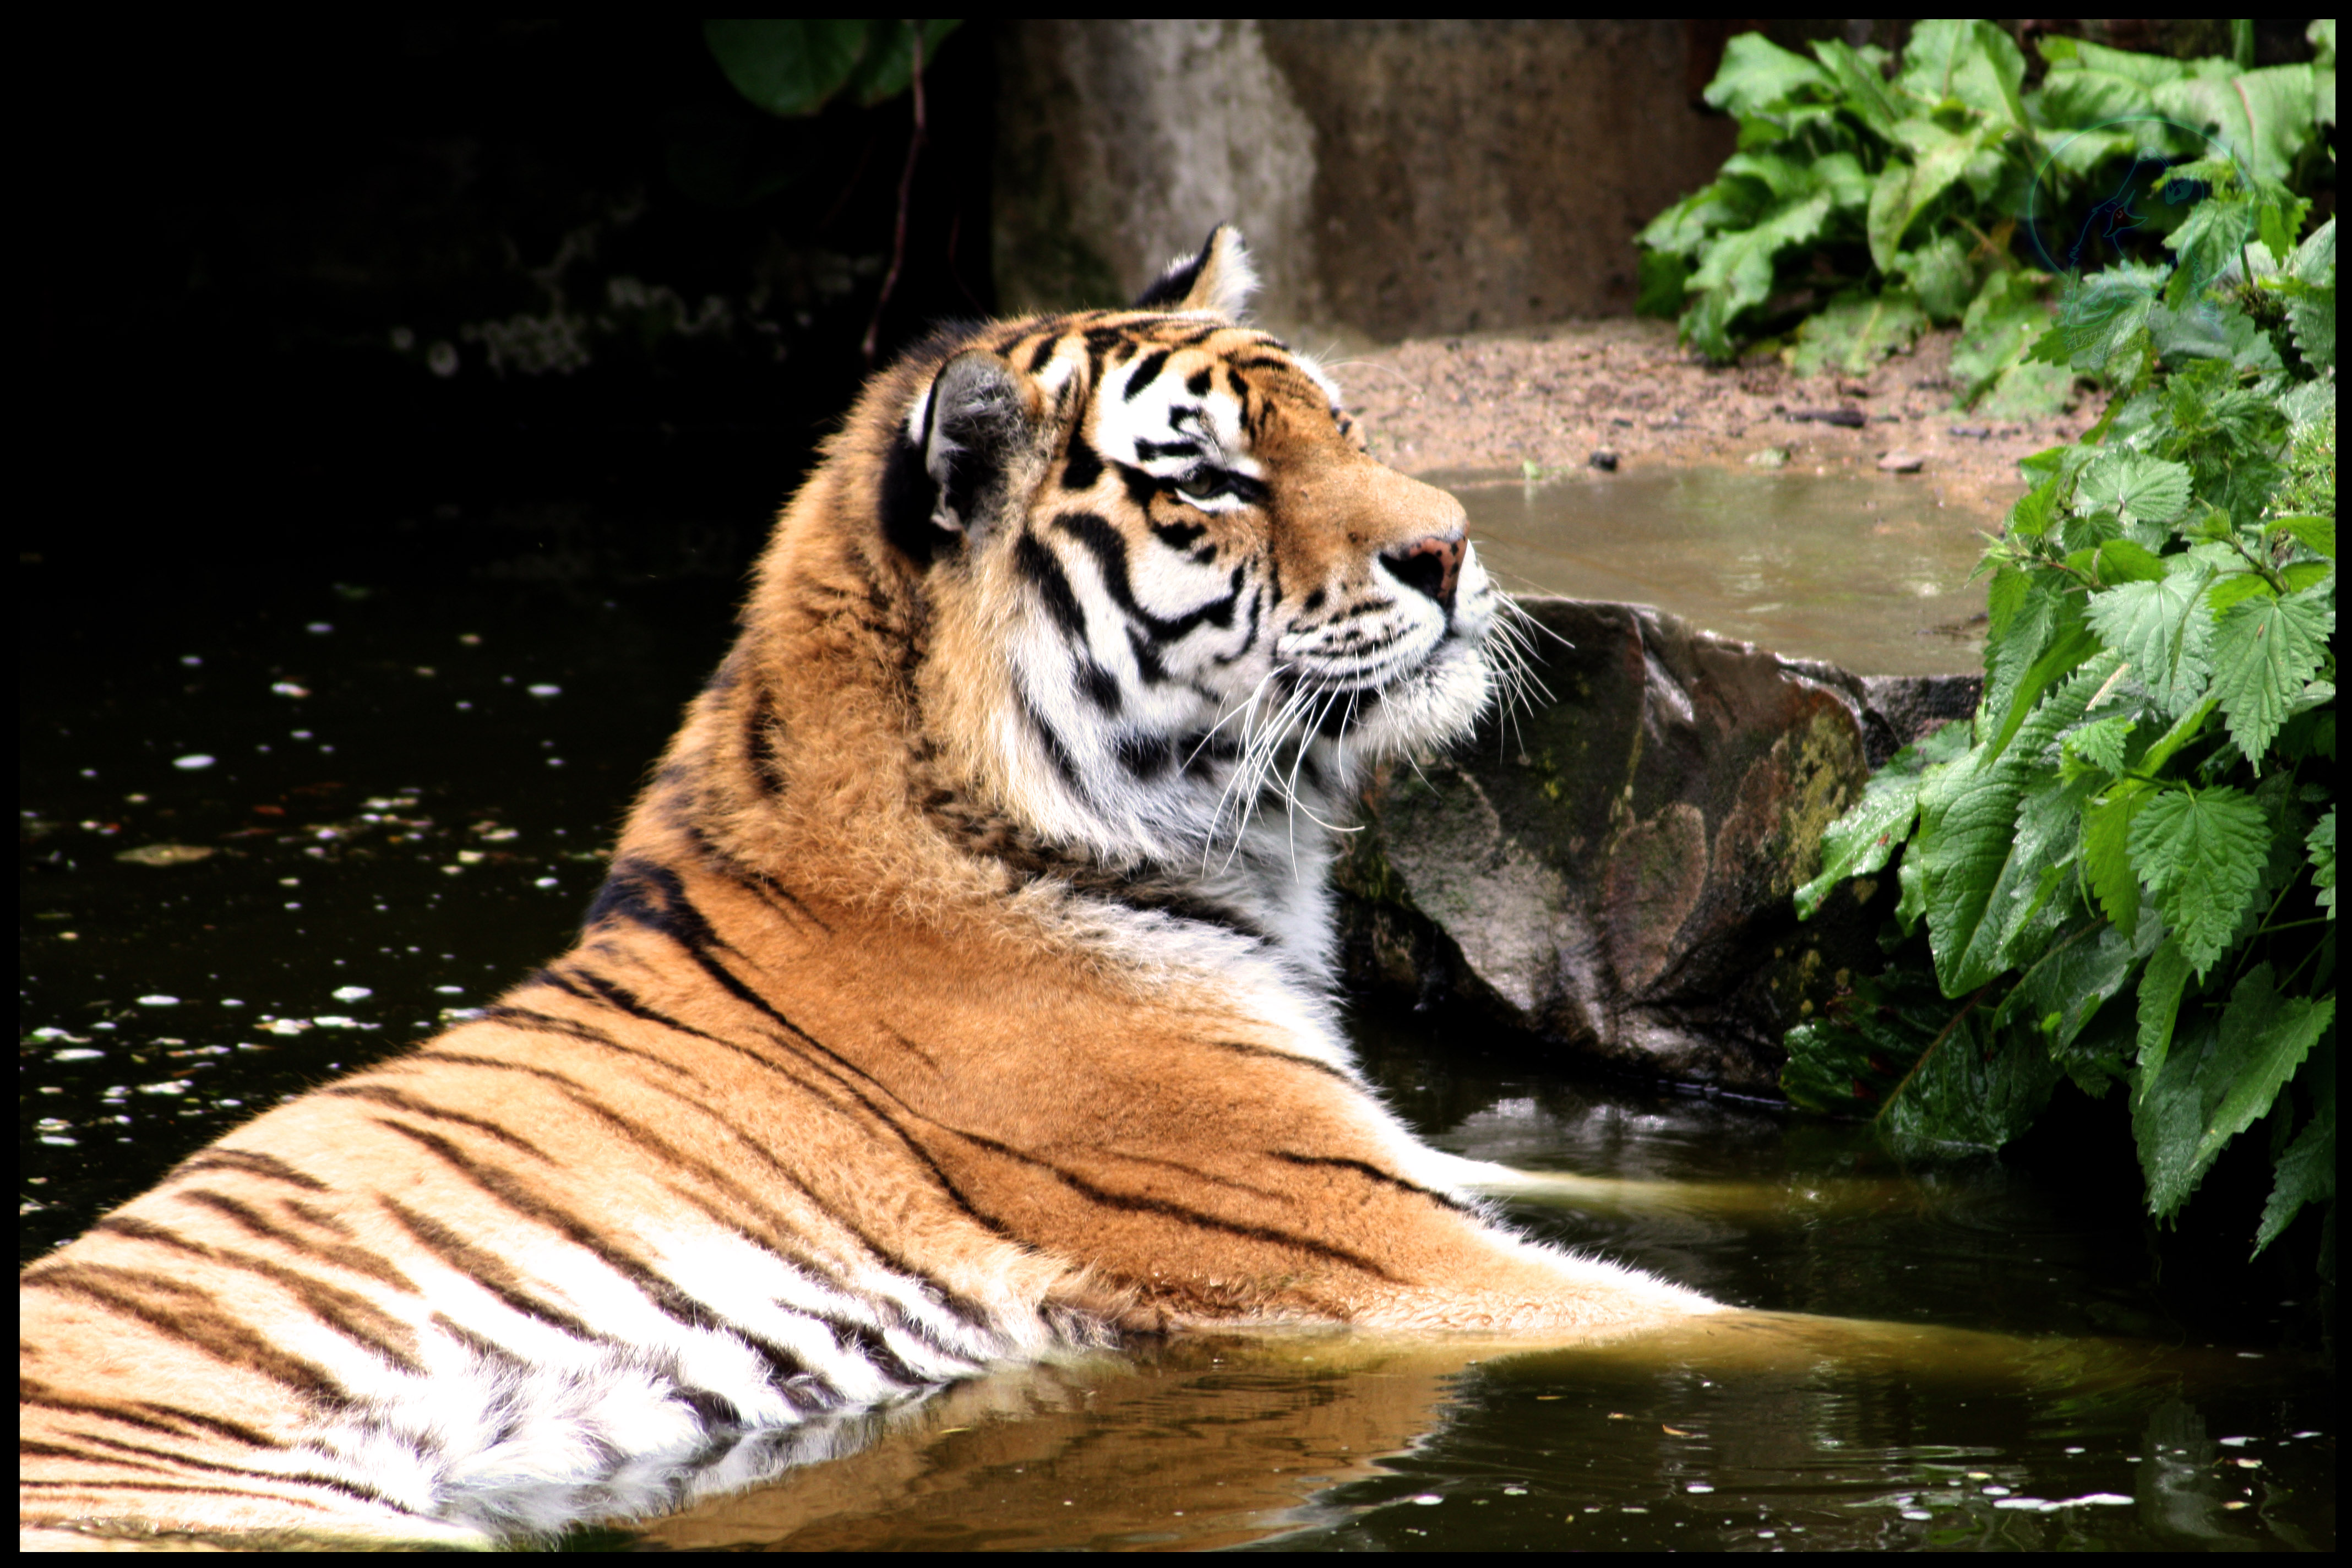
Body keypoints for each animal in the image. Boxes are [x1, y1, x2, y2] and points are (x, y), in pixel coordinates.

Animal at [18, 227, 1722, 1551]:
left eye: (1347, 425)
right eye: (1215, 482)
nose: (1452, 548)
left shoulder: (1392, 1157)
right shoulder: (1376, 1254)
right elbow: (1758, 1326)